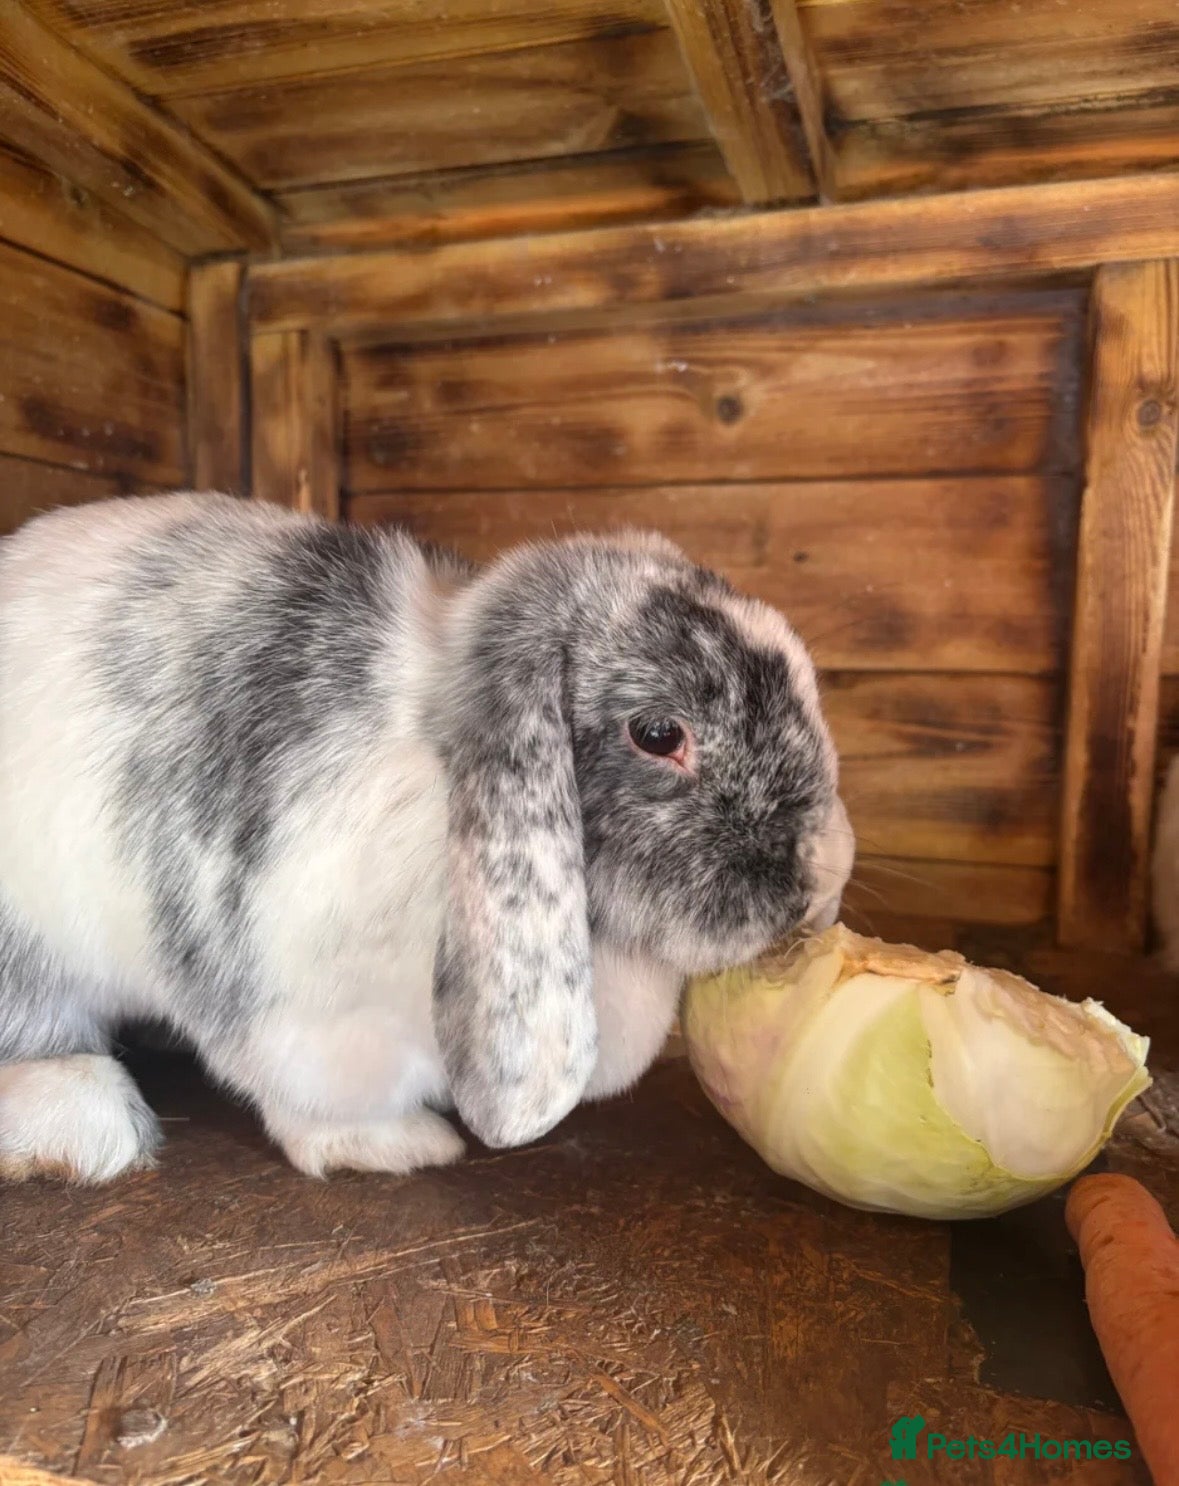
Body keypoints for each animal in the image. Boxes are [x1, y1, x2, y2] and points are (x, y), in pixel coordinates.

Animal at [0, 493, 854, 1183]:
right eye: (657, 734)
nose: (823, 879)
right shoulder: (303, 1009)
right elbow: (317, 1096)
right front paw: (400, 1146)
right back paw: (83, 1128)